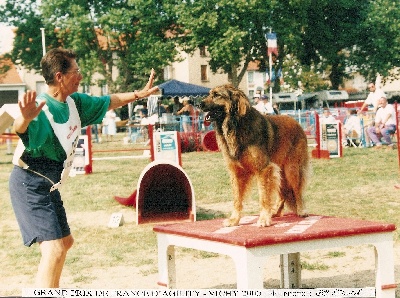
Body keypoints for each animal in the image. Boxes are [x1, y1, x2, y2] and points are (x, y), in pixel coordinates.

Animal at [200, 85, 310, 227]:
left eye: (216, 95)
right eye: (209, 94)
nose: (198, 103)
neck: (236, 126)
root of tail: (297, 123)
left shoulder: (263, 169)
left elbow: (263, 197)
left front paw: (263, 219)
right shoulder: (237, 172)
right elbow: (237, 199)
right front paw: (234, 219)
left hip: (291, 169)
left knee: (297, 190)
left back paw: (301, 210)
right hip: (280, 171)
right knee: (283, 193)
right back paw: (275, 212)